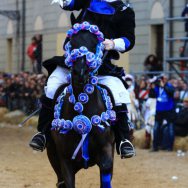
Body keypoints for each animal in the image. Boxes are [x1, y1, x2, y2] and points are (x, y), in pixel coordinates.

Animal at [46, 28, 115, 188]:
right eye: (71, 43)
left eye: (95, 44)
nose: (79, 73)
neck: (83, 108)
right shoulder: (65, 161)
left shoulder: (107, 150)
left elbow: (106, 169)